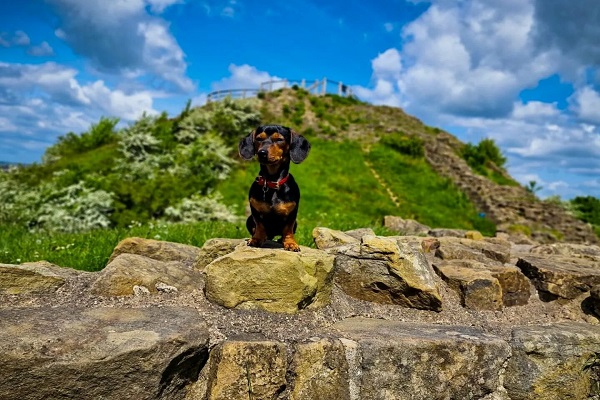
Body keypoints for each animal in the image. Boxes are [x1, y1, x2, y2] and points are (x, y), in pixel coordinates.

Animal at [238, 123, 310, 252]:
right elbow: (259, 225)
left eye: (279, 139)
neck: (272, 182)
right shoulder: (255, 211)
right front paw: (256, 239)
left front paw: (290, 243)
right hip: (249, 219)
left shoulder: (292, 214)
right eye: (259, 139)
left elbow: (288, 229)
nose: (262, 153)